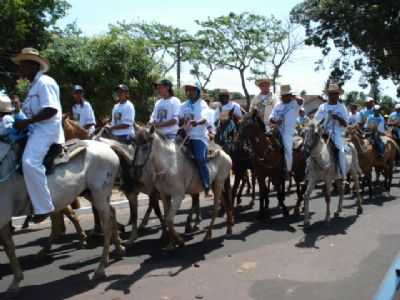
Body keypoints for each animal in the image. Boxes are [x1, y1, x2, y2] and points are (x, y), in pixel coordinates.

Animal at [0, 140, 124, 292]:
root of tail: (107, 146)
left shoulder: (3, 215)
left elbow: (8, 246)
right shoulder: (4, 219)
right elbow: (9, 246)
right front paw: (16, 280)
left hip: (99, 193)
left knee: (106, 223)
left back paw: (100, 268)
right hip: (89, 193)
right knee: (111, 213)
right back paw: (119, 248)